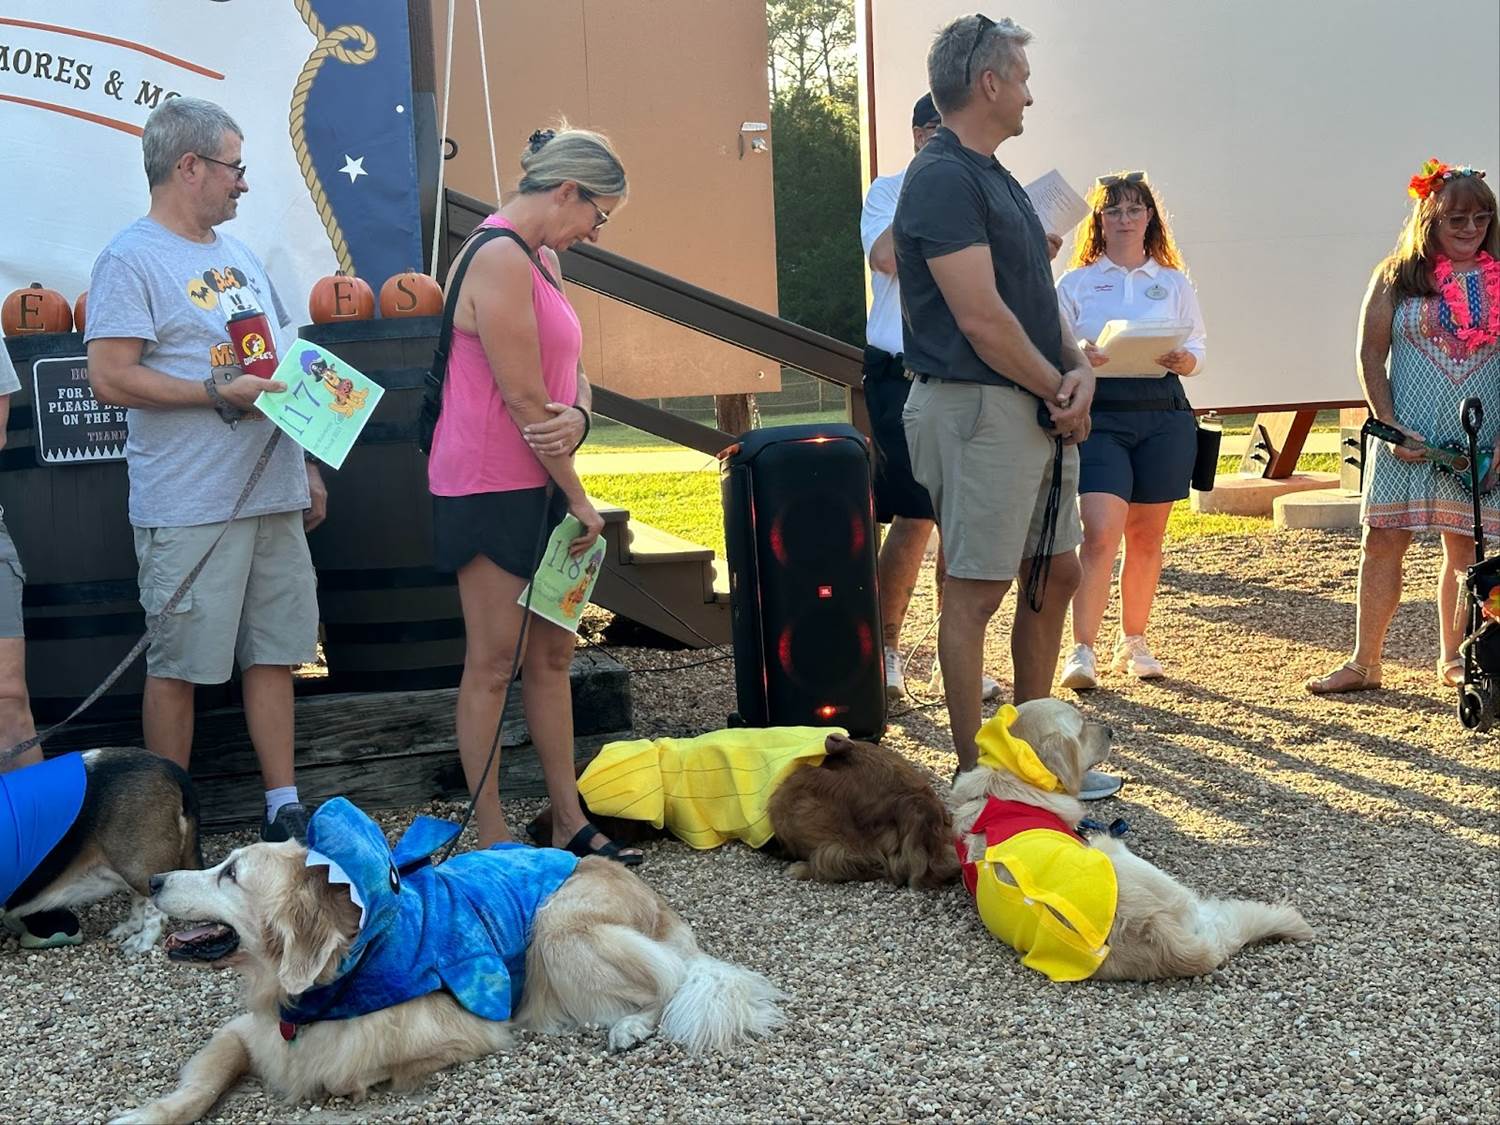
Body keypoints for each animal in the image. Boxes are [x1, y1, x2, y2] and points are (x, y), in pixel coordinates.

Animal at [2, 747, 200, 954]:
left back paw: (142, 941)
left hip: (137, 866)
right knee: (139, 901)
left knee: (155, 910)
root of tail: (166, 764)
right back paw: (129, 927)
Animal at [111, 799, 782, 1123]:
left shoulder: (462, 1030)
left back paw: (631, 1026)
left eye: (230, 872)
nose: (155, 879)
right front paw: (143, 1116)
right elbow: (201, 1085)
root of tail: (659, 905)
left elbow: (353, 1073)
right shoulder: (244, 1033)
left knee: (670, 982)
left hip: (556, 927)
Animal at [530, 732, 959, 889]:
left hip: (787, 793)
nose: (531, 831)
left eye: (581, 806)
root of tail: (915, 798)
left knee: (852, 860)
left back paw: (799, 864)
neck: (662, 768)